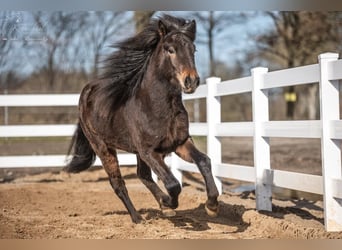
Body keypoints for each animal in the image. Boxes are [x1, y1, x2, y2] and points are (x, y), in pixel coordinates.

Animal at [65, 14, 218, 224]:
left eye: (193, 49)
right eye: (170, 49)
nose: (191, 81)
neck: (155, 107)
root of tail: (87, 91)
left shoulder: (179, 143)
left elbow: (204, 161)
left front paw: (212, 205)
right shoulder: (148, 151)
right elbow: (173, 184)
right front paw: (169, 202)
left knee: (143, 175)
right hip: (103, 147)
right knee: (118, 183)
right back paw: (138, 218)